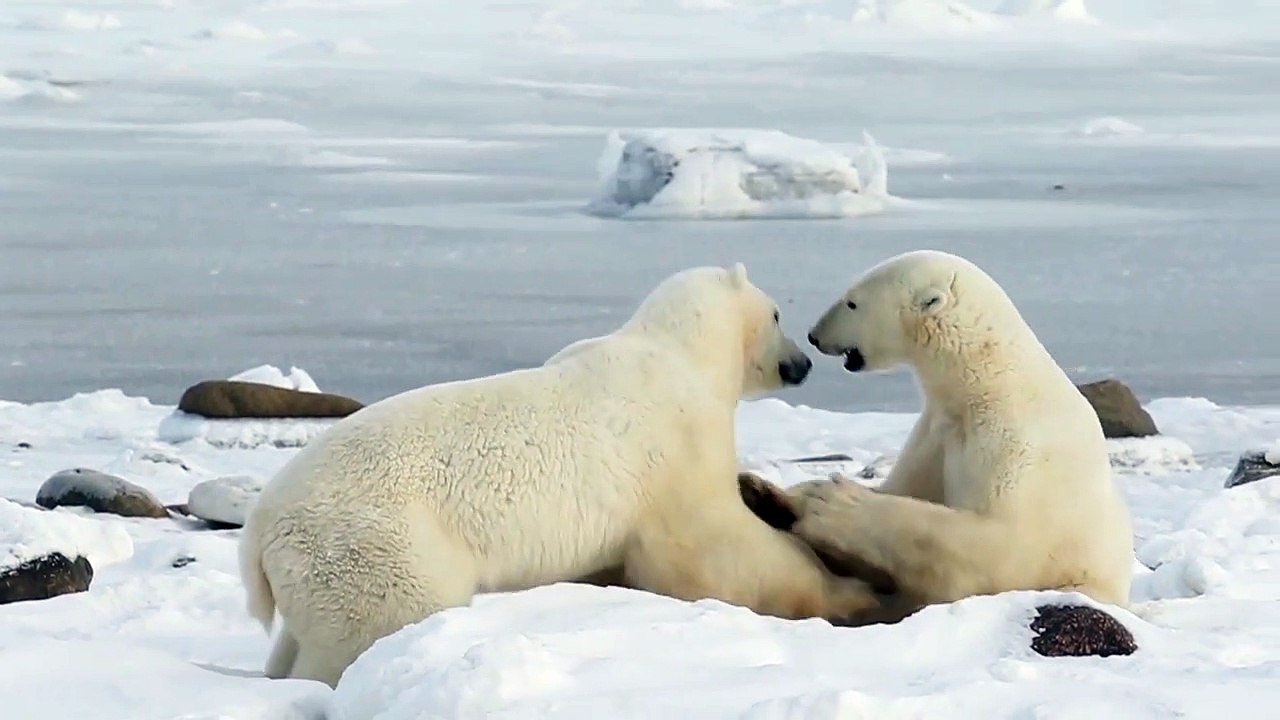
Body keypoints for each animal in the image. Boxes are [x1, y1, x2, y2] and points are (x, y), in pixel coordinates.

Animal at [238, 263, 885, 687]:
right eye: (776, 313)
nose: (801, 362)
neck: (681, 352)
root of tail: (260, 529)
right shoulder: (675, 448)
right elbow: (717, 550)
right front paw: (847, 592)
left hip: (315, 571)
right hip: (375, 543)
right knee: (379, 622)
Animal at [739, 249, 1134, 622]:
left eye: (852, 302)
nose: (814, 334)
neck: (987, 387)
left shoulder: (1018, 450)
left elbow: (1002, 550)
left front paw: (833, 503)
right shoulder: (935, 436)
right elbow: (904, 489)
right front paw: (773, 491)